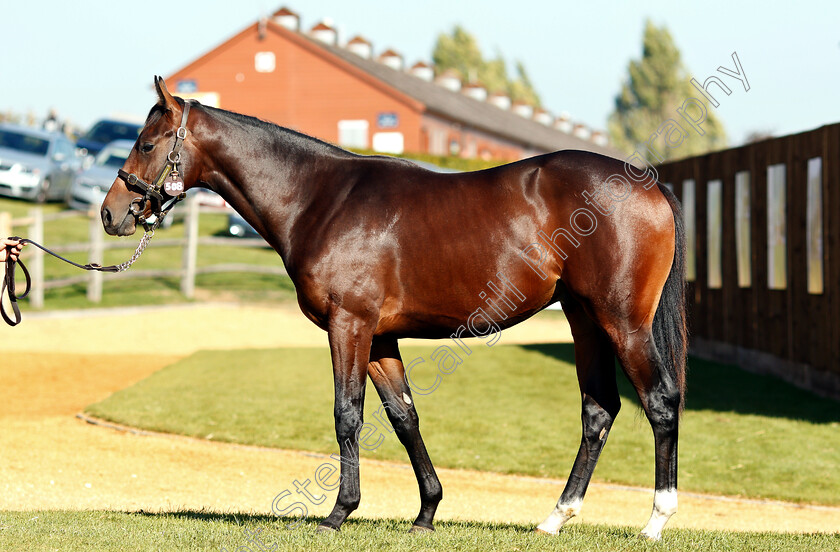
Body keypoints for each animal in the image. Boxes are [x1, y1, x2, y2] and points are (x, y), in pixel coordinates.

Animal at [101, 77, 684, 540]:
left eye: (147, 143)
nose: (111, 213)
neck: (320, 198)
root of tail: (647, 183)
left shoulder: (349, 326)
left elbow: (347, 414)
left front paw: (339, 512)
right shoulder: (380, 337)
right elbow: (404, 416)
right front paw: (426, 512)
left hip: (623, 321)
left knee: (659, 402)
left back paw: (656, 520)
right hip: (584, 320)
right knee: (598, 410)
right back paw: (556, 517)